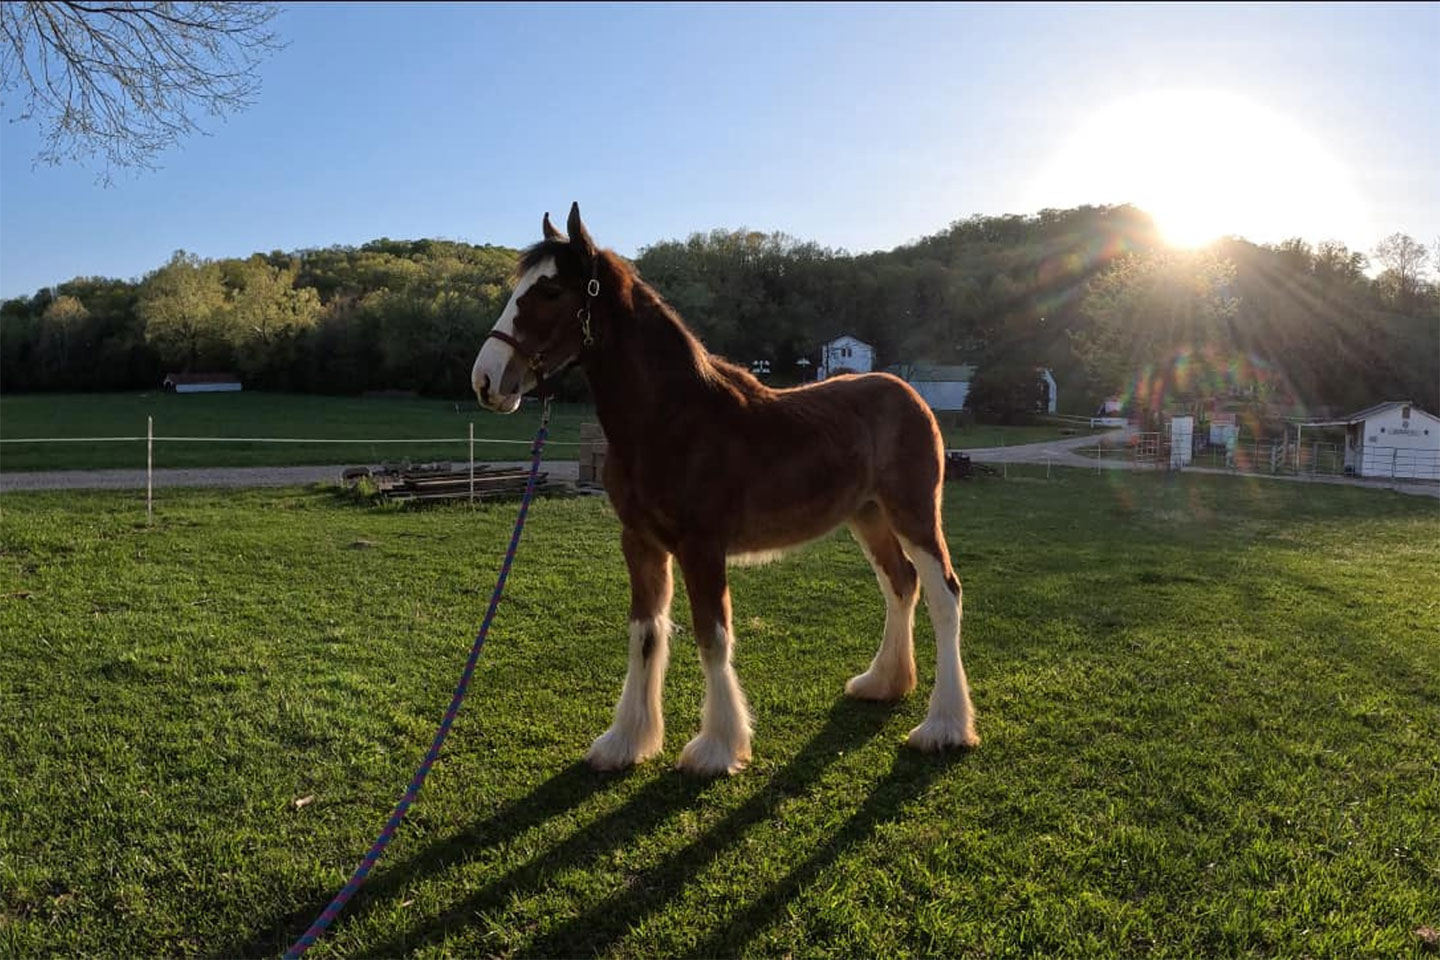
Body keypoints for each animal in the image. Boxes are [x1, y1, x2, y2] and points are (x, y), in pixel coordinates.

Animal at [471, 203, 978, 775]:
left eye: (552, 291)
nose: (486, 380)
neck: (671, 420)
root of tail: (909, 393)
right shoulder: (640, 543)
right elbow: (645, 633)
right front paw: (626, 741)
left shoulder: (702, 547)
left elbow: (712, 637)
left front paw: (716, 748)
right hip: (868, 516)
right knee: (901, 584)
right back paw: (884, 683)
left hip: (914, 513)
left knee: (944, 594)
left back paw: (943, 726)